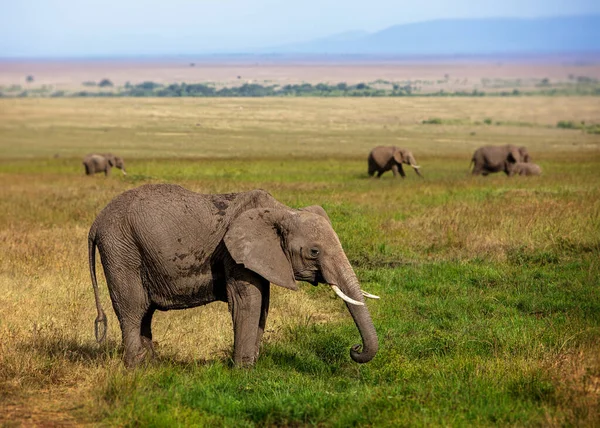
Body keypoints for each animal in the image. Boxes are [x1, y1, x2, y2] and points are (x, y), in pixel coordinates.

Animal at [88, 184, 380, 368]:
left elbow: (263, 302)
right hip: (121, 248)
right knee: (133, 306)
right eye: (314, 251)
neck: (282, 210)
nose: (354, 349)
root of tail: (96, 223)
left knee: (145, 311)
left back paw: (153, 364)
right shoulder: (234, 253)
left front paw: (252, 364)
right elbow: (247, 301)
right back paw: (136, 368)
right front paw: (243, 371)